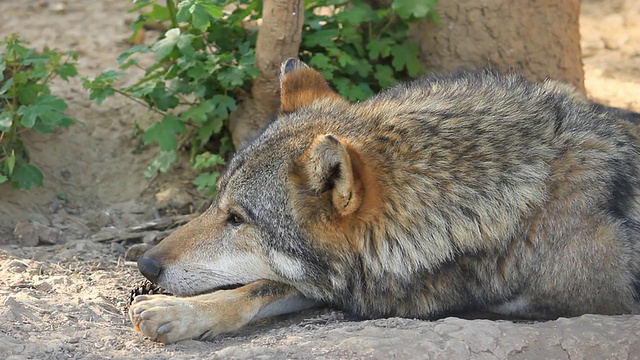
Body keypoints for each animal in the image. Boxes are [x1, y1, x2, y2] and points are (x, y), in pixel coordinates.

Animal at [129, 58, 640, 344]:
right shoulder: (345, 280)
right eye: (216, 203)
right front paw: (179, 314)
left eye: (237, 218)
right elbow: (261, 287)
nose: (147, 265)